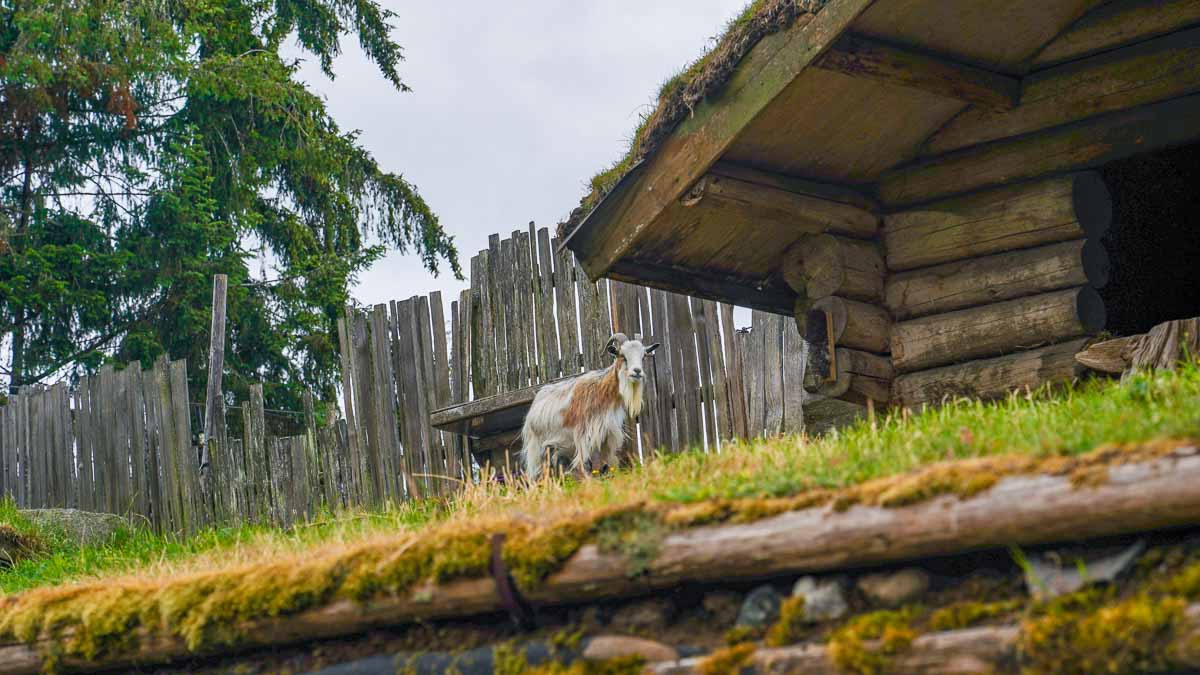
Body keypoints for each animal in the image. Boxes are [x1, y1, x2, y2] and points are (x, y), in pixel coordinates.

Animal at [520, 333, 660, 480]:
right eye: (622, 356)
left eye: (643, 356)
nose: (637, 371)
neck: (603, 391)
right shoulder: (583, 436)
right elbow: (586, 465)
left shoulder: (607, 436)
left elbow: (606, 465)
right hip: (536, 448)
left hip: (557, 447)